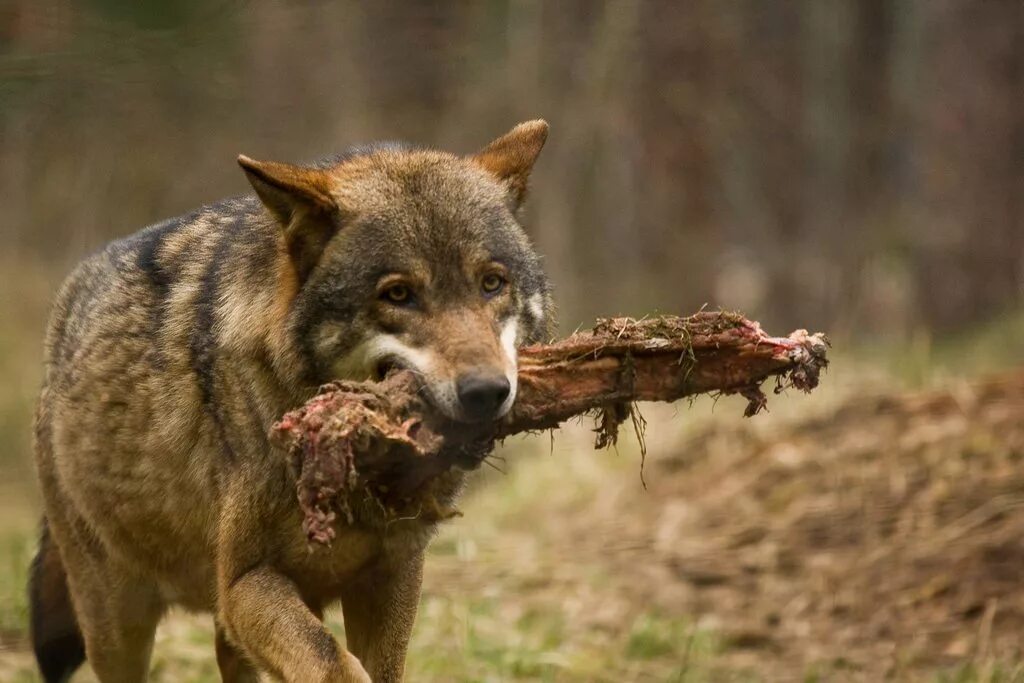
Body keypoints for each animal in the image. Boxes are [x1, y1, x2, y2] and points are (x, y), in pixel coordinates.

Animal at [28, 120, 552, 679]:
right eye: (398, 294)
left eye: (492, 283)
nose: (487, 392)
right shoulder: (243, 583)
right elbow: (333, 663)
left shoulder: (394, 574)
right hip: (116, 623)